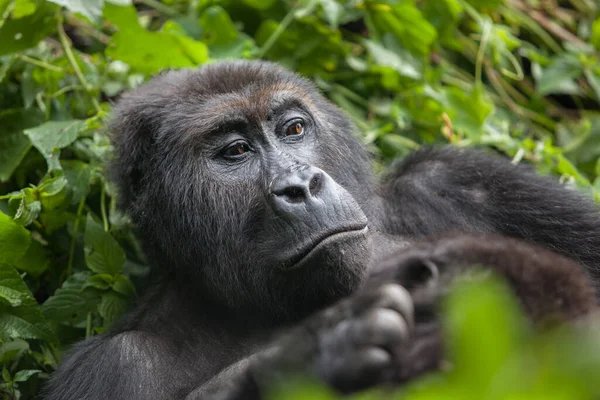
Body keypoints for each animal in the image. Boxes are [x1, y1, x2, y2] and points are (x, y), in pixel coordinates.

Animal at [43, 60, 600, 400]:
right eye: (236, 151)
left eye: (293, 128)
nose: (300, 186)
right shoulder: (110, 368)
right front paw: (313, 357)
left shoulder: (455, 179)